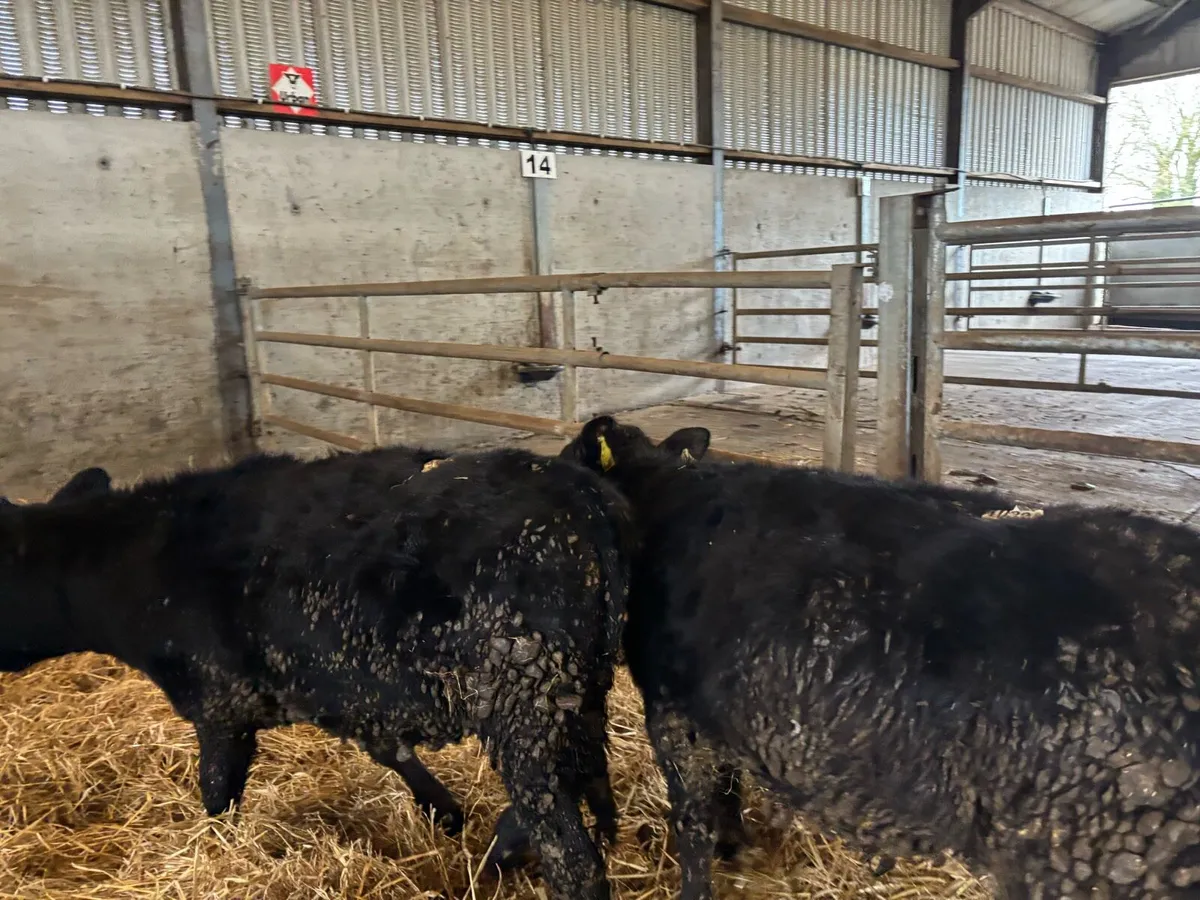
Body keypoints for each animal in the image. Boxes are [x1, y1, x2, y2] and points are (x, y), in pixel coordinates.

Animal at [0, 445, 634, 900]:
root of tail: (581, 494)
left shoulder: (219, 702)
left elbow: (217, 793)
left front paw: (220, 850)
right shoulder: (349, 687)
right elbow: (389, 751)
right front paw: (446, 812)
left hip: (523, 705)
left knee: (571, 855)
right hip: (577, 694)